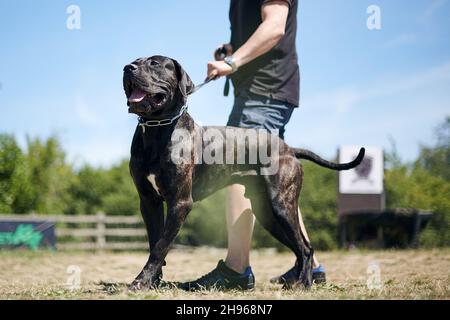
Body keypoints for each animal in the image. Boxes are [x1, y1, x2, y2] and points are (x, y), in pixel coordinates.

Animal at [123, 55, 366, 290]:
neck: (157, 128)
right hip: (268, 214)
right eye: (136, 60)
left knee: (305, 248)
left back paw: (304, 285)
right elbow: (155, 242)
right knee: (300, 248)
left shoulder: (180, 203)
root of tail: (290, 149)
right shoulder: (149, 202)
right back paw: (296, 281)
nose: (127, 68)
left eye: (154, 63)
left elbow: (160, 246)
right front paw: (153, 282)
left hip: (282, 206)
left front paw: (141, 282)